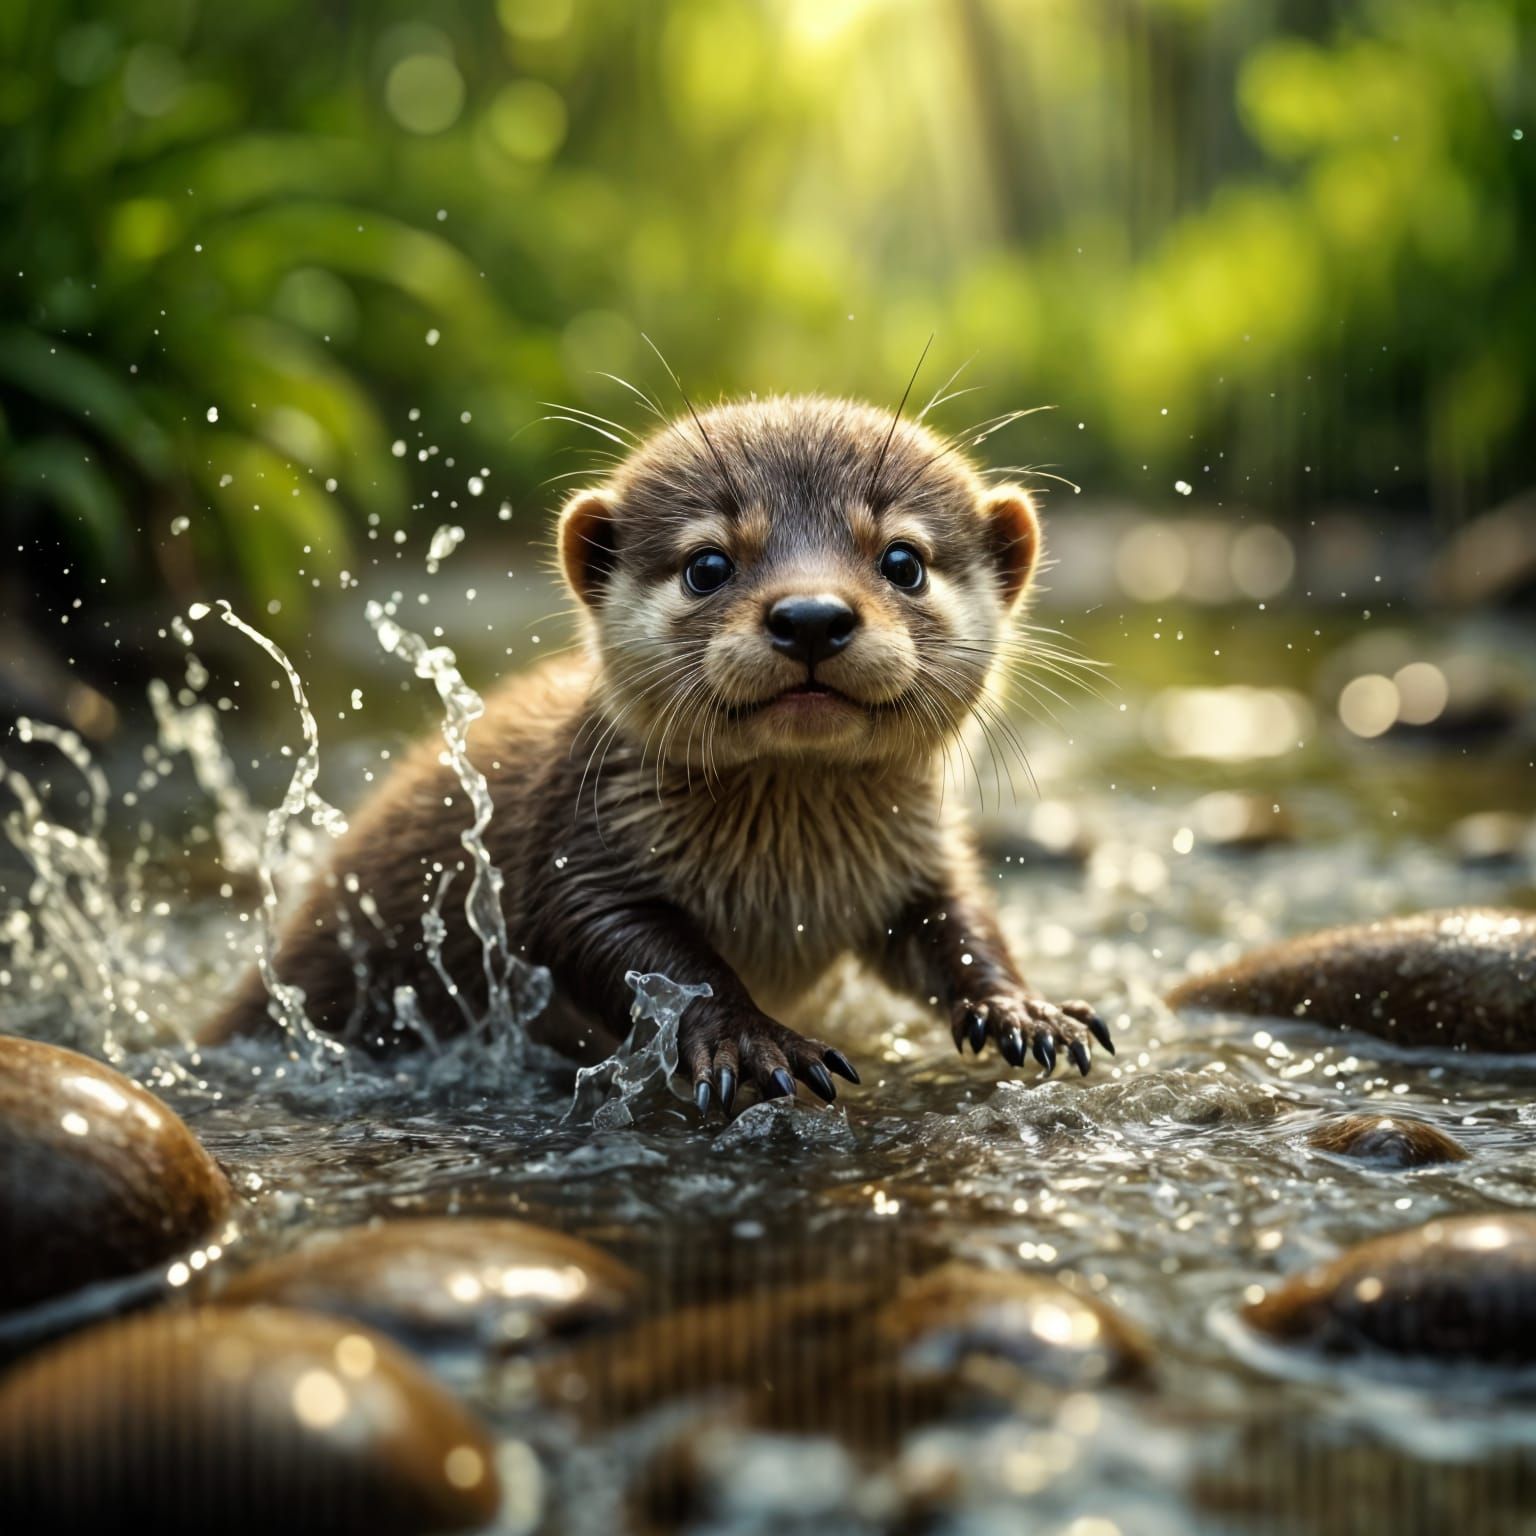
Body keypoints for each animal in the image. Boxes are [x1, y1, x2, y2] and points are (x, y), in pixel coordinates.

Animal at [211, 394, 1113, 1112]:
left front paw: (1025, 1009)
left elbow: (958, 924)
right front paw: (754, 1039)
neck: (786, 886)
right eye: (706, 564)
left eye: (904, 560)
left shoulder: (919, 855)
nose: (811, 615)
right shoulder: (577, 846)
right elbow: (636, 952)